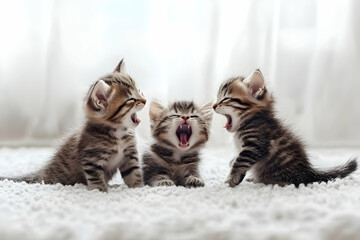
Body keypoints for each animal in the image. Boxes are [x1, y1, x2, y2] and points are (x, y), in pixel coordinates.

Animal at [0, 60, 146, 193]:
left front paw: (138, 188)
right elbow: (95, 177)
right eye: (131, 99)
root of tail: (42, 173)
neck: (119, 133)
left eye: (140, 91)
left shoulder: (130, 155)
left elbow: (133, 173)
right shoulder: (91, 159)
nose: (145, 100)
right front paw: (100, 190)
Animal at [214, 69, 358, 188]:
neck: (252, 120)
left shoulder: (255, 144)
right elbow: (236, 159)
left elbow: (240, 162)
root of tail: (308, 172)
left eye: (225, 99)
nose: (214, 106)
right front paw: (232, 166)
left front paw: (230, 180)